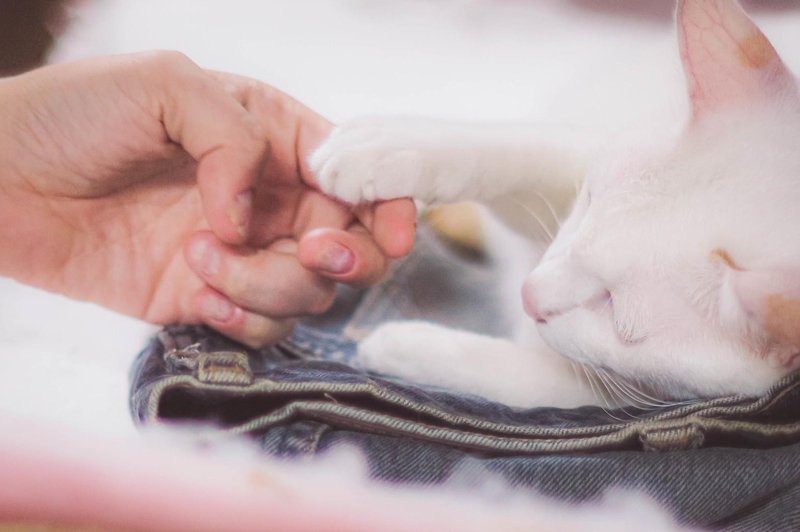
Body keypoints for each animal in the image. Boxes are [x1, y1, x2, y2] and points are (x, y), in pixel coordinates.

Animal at [310, 0, 800, 410]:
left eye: (615, 310)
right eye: (589, 201)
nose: (529, 293)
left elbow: (534, 381)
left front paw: (405, 346)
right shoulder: (579, 157)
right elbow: (519, 150)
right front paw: (390, 147)